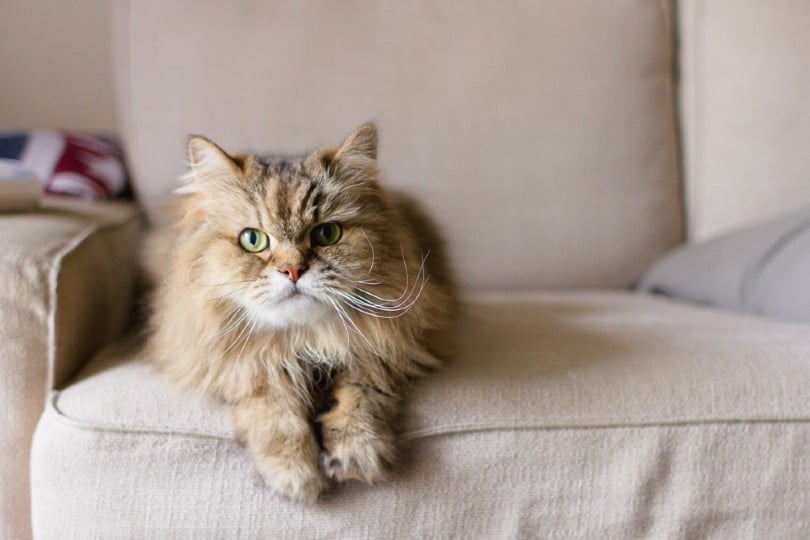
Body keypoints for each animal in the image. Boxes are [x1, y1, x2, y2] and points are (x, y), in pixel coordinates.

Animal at [143, 122, 452, 502]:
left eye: (327, 233)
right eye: (252, 240)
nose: (292, 270)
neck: (302, 342)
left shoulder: (391, 348)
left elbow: (363, 393)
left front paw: (357, 453)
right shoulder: (239, 365)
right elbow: (273, 409)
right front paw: (294, 474)